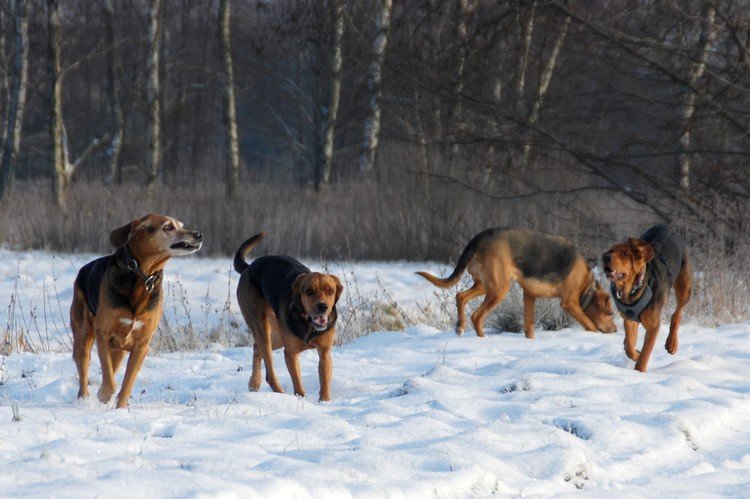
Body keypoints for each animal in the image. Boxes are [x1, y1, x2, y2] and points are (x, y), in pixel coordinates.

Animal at [70, 213, 203, 408]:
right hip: (83, 335)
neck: (142, 275)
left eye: (181, 225)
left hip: (117, 350)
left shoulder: (142, 344)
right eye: (168, 227)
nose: (198, 234)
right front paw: (104, 394)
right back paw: (84, 399)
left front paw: (120, 408)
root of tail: (83, 270)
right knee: (84, 369)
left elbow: (127, 382)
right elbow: (110, 381)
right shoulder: (103, 334)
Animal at [234, 233, 346, 402]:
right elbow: (298, 383)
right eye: (309, 292)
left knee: (256, 347)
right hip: (261, 327)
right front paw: (301, 400)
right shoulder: (291, 353)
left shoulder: (325, 352)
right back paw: (277, 392)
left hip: (277, 334)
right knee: (269, 373)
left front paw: (325, 402)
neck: (308, 323)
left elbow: (325, 380)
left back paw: (254, 383)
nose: (323, 306)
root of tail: (248, 268)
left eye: (330, 291)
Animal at [418, 228, 616, 338]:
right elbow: (590, 325)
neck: (586, 284)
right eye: (610, 313)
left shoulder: (529, 296)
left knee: (460, 296)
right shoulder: (569, 303)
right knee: (477, 316)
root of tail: (480, 237)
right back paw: (481, 338)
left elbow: (529, 327)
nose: (615, 330)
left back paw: (460, 326)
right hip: (498, 289)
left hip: (484, 286)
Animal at [604, 225, 692, 374]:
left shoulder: (653, 325)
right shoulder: (629, 318)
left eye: (625, 254)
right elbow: (630, 345)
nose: (606, 257)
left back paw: (672, 344)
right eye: (610, 251)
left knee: (677, 314)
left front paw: (639, 371)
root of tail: (667, 227)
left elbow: (646, 352)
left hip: (684, 286)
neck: (632, 290)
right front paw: (635, 353)